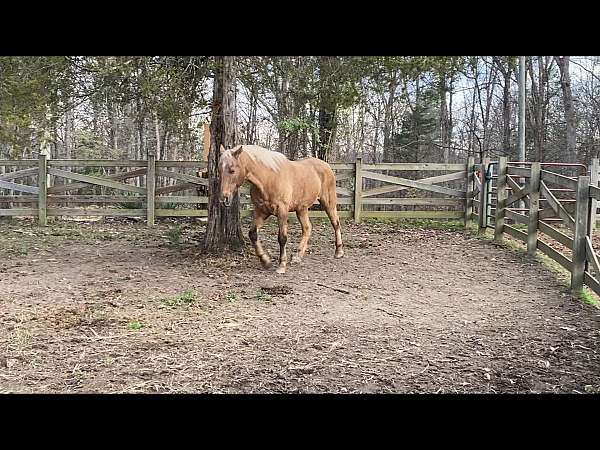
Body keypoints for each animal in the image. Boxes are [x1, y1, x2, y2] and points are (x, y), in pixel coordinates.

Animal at [218, 144, 344, 272]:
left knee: (335, 223)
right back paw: (297, 256)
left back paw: (339, 252)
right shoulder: (261, 211)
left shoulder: (282, 211)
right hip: (301, 209)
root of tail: (326, 166)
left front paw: (281, 265)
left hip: (328, 203)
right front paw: (265, 261)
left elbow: (282, 238)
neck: (268, 179)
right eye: (219, 170)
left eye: (232, 170)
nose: (224, 198)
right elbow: (252, 234)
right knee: (307, 228)